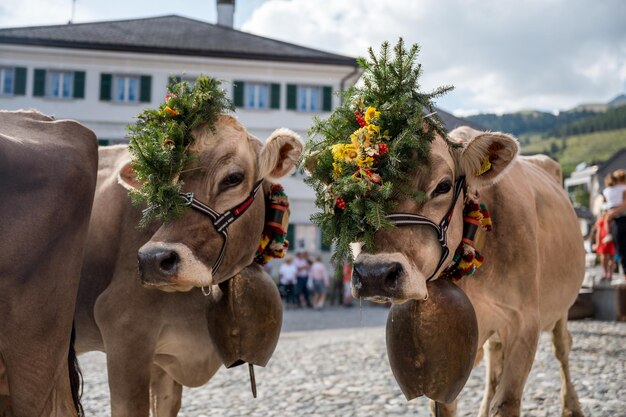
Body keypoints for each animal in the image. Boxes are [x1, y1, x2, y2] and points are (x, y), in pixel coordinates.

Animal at [348, 126, 584, 416]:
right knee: (494, 360)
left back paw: (571, 407)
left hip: (561, 308)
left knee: (562, 348)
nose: (375, 274)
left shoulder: (525, 321)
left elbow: (506, 402)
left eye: (443, 186)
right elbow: (444, 404)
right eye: (358, 190)